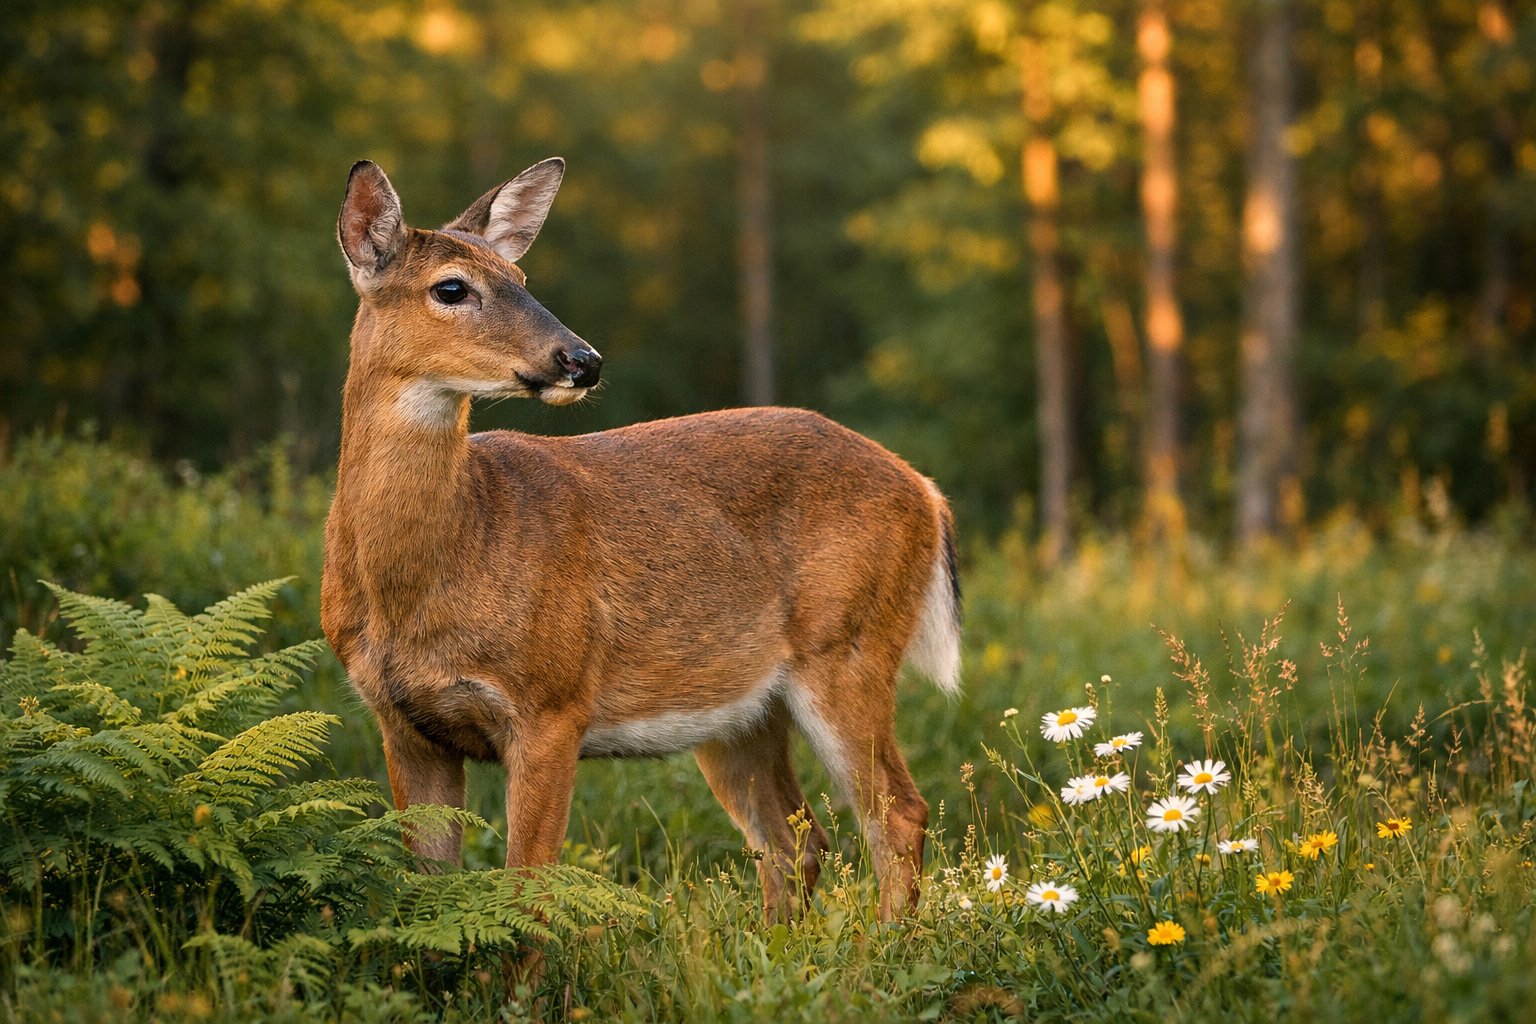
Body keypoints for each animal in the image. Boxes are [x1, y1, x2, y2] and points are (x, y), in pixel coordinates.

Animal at [321, 158, 961, 921]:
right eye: (451, 287)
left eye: (522, 277)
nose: (582, 360)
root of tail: (925, 489)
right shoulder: (404, 725)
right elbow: (432, 895)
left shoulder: (552, 703)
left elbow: (528, 892)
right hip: (739, 709)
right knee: (793, 838)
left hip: (849, 647)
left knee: (896, 815)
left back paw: (886, 944)